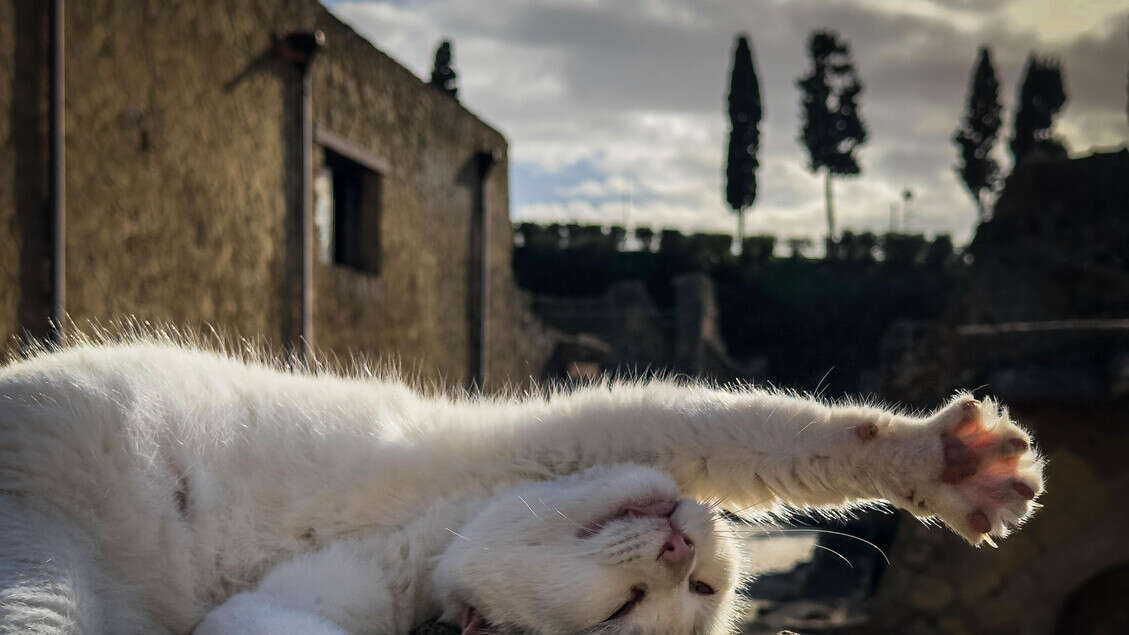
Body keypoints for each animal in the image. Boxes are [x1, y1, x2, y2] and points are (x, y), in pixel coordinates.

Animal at [0, 336, 1038, 628]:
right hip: (43, 565)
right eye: (625, 607)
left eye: (699, 589)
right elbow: (757, 429)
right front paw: (950, 464)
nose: (680, 545)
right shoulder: (579, 430)